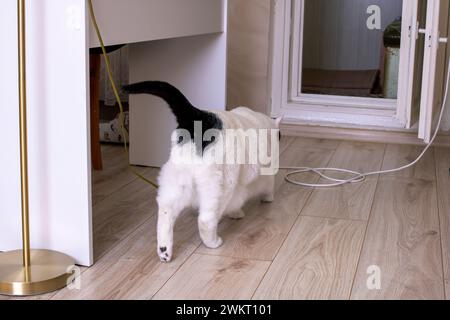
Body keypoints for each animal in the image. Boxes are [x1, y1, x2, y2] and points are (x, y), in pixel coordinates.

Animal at [123, 81, 278, 262]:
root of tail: (199, 115)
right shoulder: (263, 176)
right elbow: (266, 189)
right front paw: (254, 205)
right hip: (220, 187)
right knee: (206, 220)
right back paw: (213, 242)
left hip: (175, 183)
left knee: (165, 212)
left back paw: (164, 252)